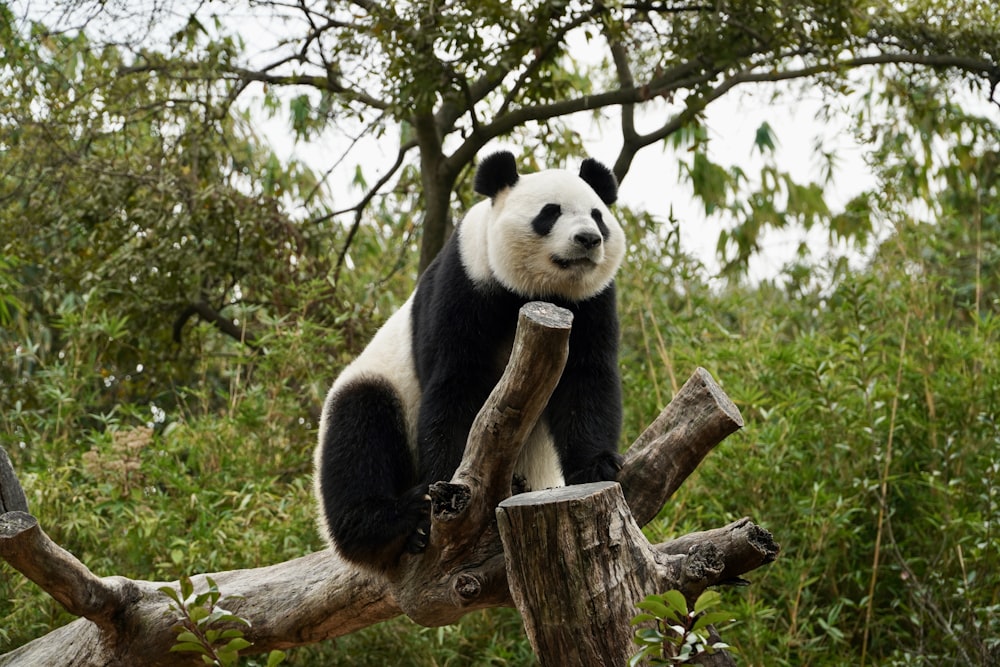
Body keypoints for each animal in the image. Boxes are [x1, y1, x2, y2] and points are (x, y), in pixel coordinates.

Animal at [314, 151, 624, 576]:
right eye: (550, 213)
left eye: (597, 216)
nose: (588, 239)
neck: (534, 293)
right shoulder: (465, 281)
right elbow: (455, 385)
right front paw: (449, 496)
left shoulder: (590, 304)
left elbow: (587, 381)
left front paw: (599, 467)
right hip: (375, 386)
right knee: (358, 430)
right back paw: (398, 519)